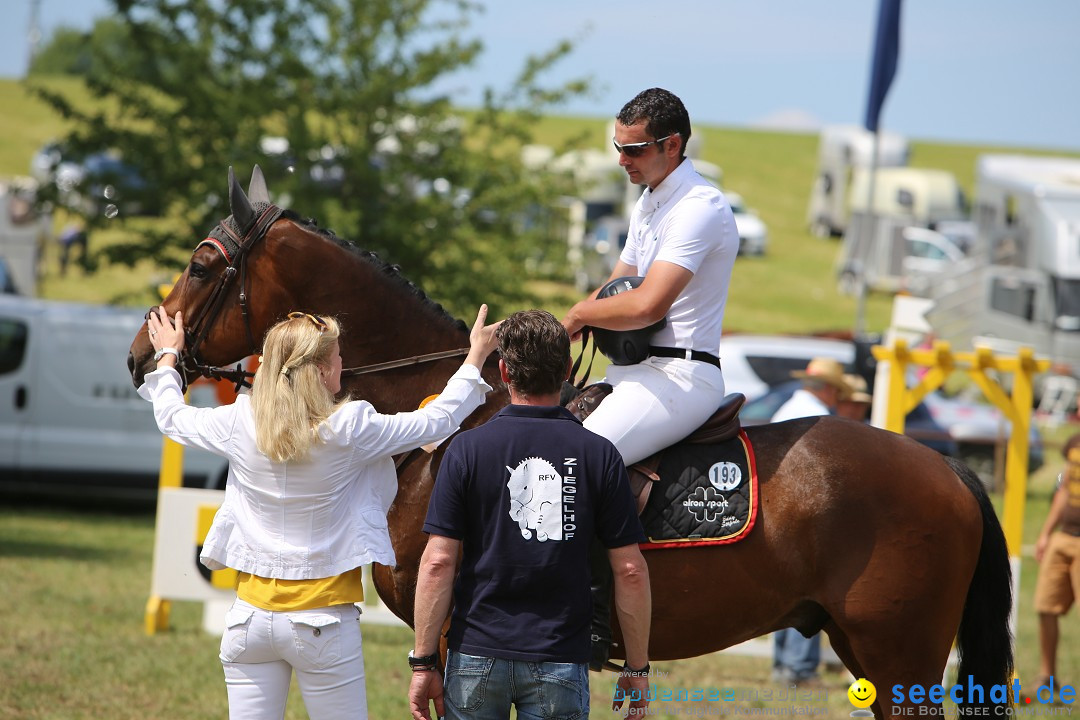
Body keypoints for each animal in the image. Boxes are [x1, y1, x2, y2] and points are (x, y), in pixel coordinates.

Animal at [126, 167, 1010, 716]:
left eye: (202, 265)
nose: (141, 356)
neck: (451, 421)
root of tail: (950, 472)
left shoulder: (457, 638)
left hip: (900, 660)